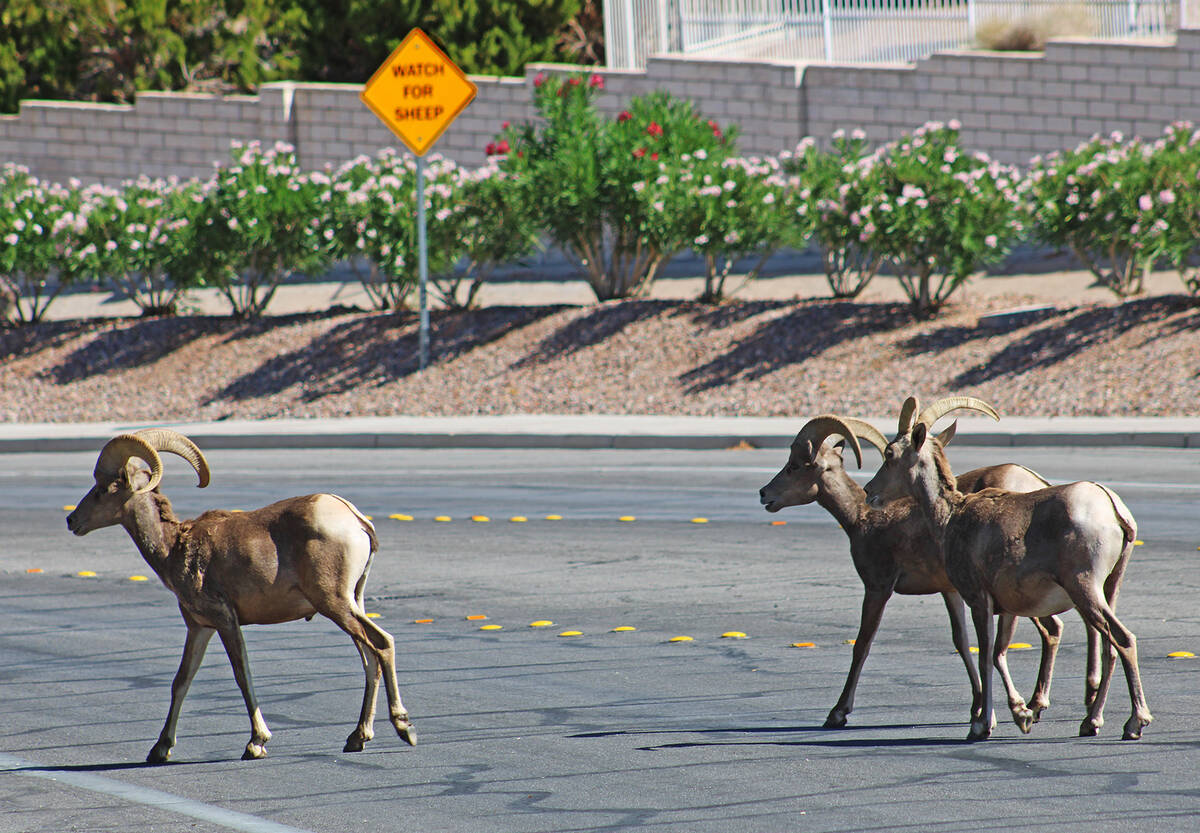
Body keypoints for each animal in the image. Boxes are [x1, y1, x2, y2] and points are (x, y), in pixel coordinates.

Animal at [70, 434, 420, 768]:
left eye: (102, 489)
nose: (72, 521)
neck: (174, 547)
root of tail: (356, 520)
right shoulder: (200, 627)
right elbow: (181, 681)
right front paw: (160, 749)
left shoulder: (226, 621)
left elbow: (241, 675)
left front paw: (256, 743)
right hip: (352, 602)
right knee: (369, 657)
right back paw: (357, 737)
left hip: (334, 603)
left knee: (381, 644)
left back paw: (404, 728)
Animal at [758, 415, 1060, 729]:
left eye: (794, 466)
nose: (764, 494)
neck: (861, 518)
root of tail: (1035, 482)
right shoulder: (950, 590)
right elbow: (962, 643)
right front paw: (977, 709)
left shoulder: (878, 588)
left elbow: (862, 645)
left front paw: (838, 713)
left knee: (1045, 631)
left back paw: (1034, 707)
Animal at [864, 398, 1152, 744]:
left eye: (890, 453)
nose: (868, 491)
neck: (951, 518)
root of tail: (1114, 510)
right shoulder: (1006, 608)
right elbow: (996, 653)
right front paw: (1022, 715)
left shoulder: (979, 599)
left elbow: (985, 656)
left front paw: (981, 726)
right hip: (1109, 588)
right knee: (1110, 646)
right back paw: (1091, 722)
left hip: (1084, 588)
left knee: (1123, 639)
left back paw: (1134, 723)